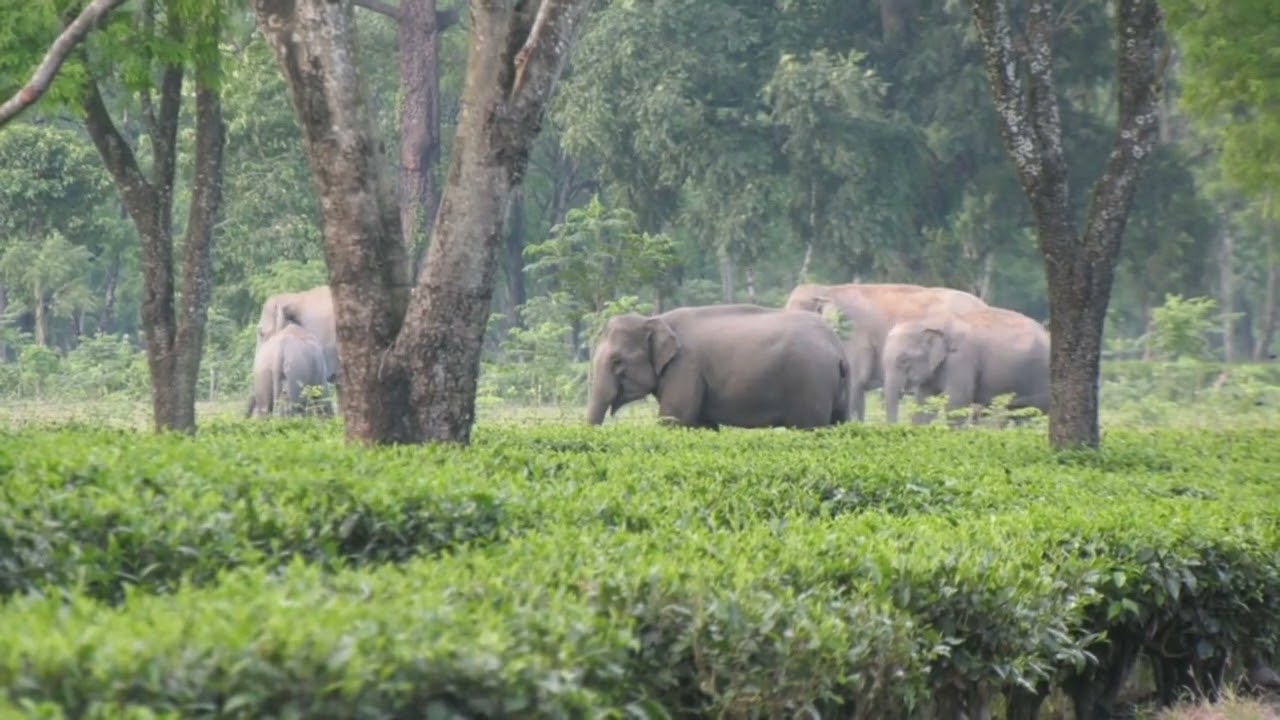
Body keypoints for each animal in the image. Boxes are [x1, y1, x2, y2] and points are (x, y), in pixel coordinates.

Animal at [587, 304, 850, 429]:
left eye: (617, 361)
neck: (656, 319)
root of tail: (837, 347)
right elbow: (701, 425)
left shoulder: (685, 367)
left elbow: (674, 418)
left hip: (811, 382)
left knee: (809, 427)